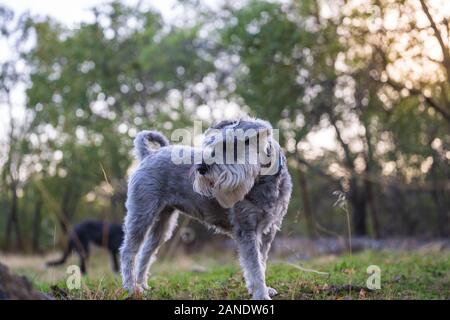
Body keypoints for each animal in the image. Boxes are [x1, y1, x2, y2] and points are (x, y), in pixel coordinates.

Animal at [121, 117, 294, 300]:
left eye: (229, 145)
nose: (201, 168)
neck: (264, 182)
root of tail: (148, 155)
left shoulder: (268, 229)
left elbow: (261, 262)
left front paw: (264, 289)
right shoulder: (246, 229)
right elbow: (254, 267)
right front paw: (261, 294)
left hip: (163, 222)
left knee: (146, 251)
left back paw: (142, 285)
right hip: (141, 215)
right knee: (128, 251)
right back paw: (131, 287)